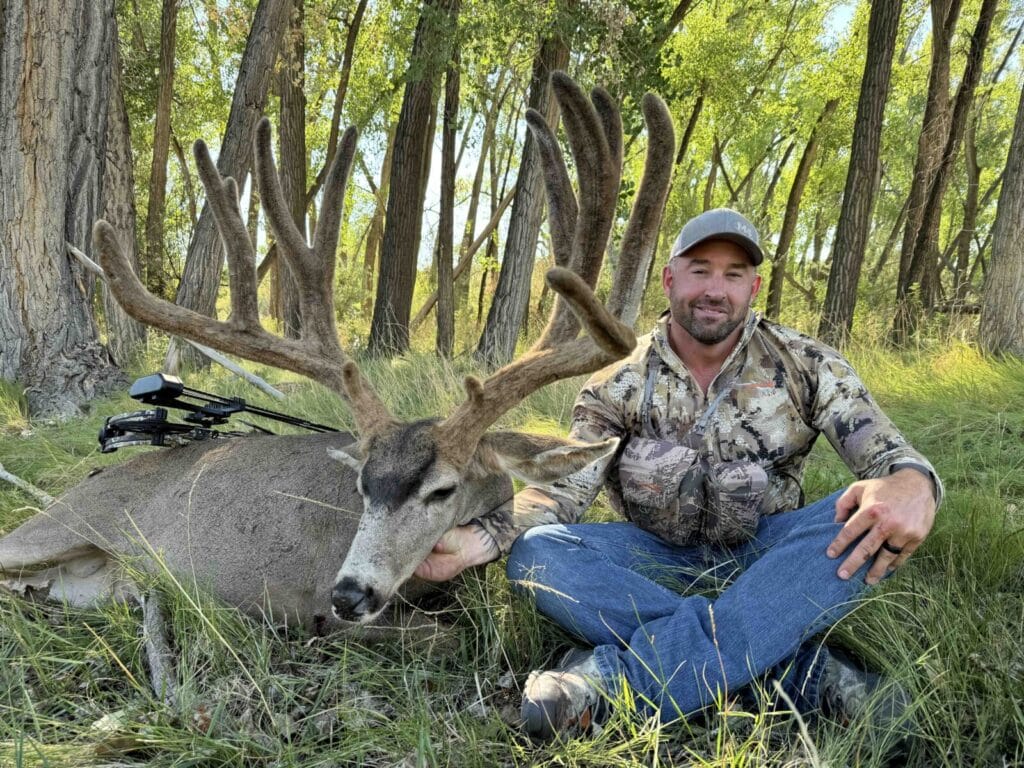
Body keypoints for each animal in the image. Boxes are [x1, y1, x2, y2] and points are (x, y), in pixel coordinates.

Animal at [0, 73, 674, 650]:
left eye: (442, 490)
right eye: (361, 485)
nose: (349, 593)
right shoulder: (319, 614)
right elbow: (446, 635)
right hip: (56, 525)